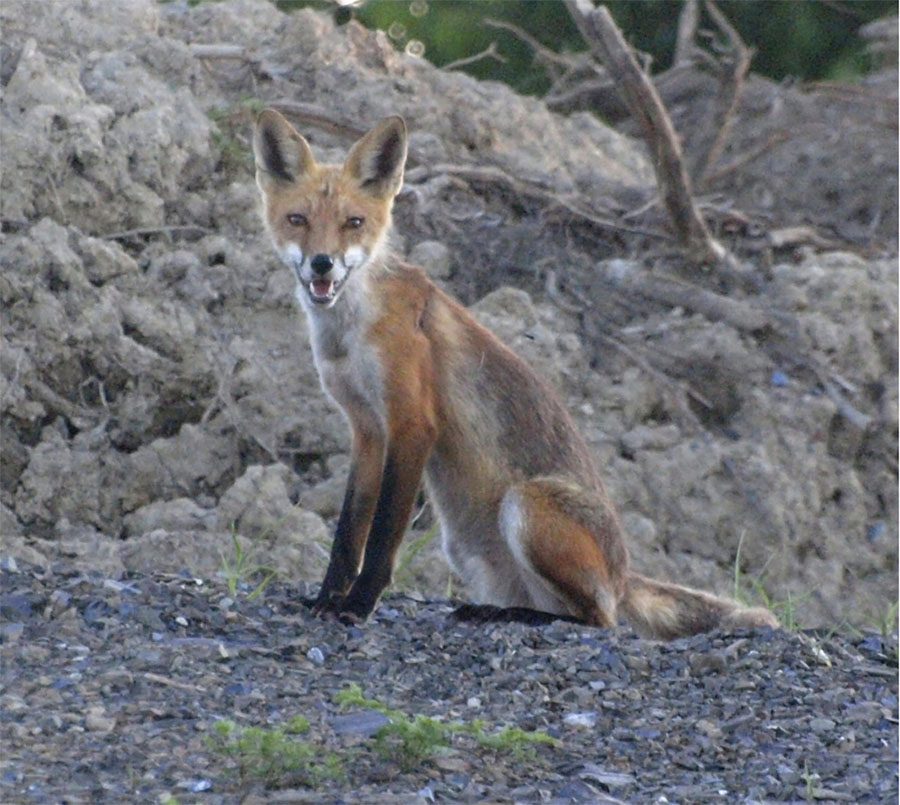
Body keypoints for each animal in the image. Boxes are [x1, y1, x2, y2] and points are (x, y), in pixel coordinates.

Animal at [252, 109, 778, 639]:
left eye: (353, 223)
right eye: (298, 220)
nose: (322, 264)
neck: (349, 332)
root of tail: (624, 575)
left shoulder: (411, 424)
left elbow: (381, 535)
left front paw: (358, 605)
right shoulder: (366, 430)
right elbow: (347, 530)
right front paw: (326, 599)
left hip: (525, 504)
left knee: (597, 619)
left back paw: (515, 617)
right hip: (466, 548)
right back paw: (492, 610)